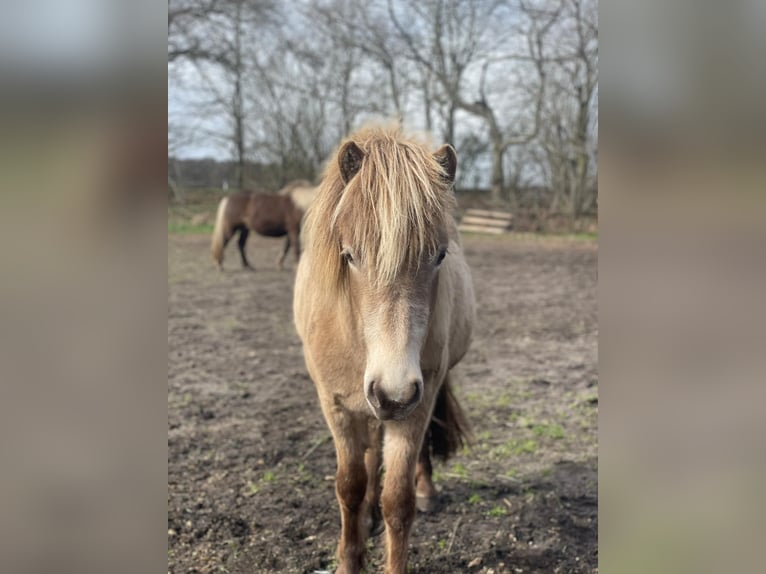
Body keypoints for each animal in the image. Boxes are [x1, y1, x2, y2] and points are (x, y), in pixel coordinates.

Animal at [293, 124, 475, 574]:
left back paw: (426, 491)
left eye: (440, 255)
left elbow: (398, 500)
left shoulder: (414, 405)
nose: (394, 392)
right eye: (349, 255)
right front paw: (350, 555)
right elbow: (350, 485)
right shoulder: (336, 405)